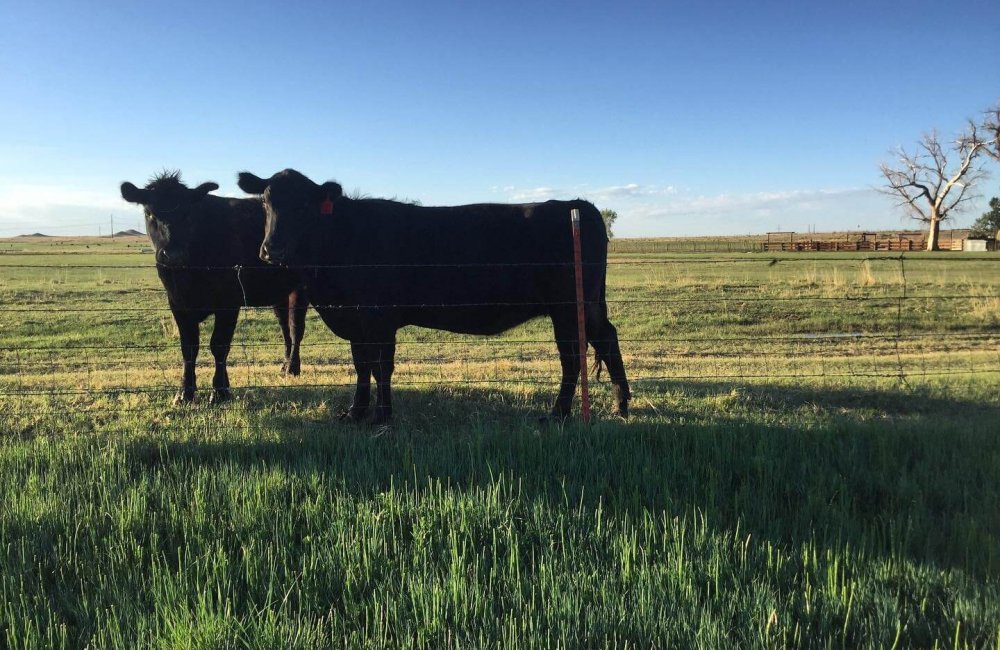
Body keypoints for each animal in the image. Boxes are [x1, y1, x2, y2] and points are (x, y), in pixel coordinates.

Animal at [120, 171, 309, 405]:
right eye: (149, 213)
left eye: (188, 214)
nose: (173, 254)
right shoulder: (177, 303)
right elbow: (188, 348)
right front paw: (184, 393)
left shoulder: (228, 303)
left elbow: (219, 345)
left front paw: (220, 391)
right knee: (284, 327)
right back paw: (284, 365)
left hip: (301, 287)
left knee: (295, 327)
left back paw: (292, 368)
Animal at [237, 168, 629, 424]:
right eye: (265, 203)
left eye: (303, 206)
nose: (271, 250)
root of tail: (578, 205)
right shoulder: (354, 319)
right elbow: (362, 365)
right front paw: (355, 413)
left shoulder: (379, 316)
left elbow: (381, 366)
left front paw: (383, 416)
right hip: (586, 306)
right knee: (606, 339)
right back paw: (620, 405)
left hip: (568, 306)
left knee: (573, 355)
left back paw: (559, 413)